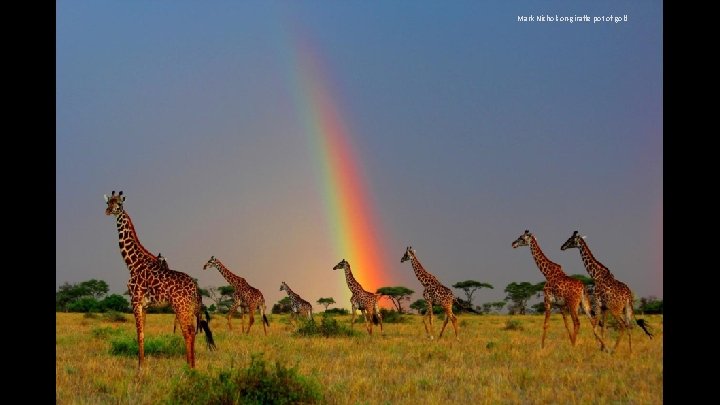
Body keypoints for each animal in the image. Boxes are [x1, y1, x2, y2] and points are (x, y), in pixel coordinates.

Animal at [104, 191, 215, 368]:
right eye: (108, 202)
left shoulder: (135, 300)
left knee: (188, 332)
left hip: (181, 306)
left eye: (119, 204)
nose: (108, 211)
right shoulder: (145, 305)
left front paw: (140, 367)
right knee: (191, 331)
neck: (132, 264)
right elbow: (143, 333)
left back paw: (190, 367)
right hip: (188, 308)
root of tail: (196, 289)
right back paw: (191, 364)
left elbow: (139, 334)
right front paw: (142, 364)